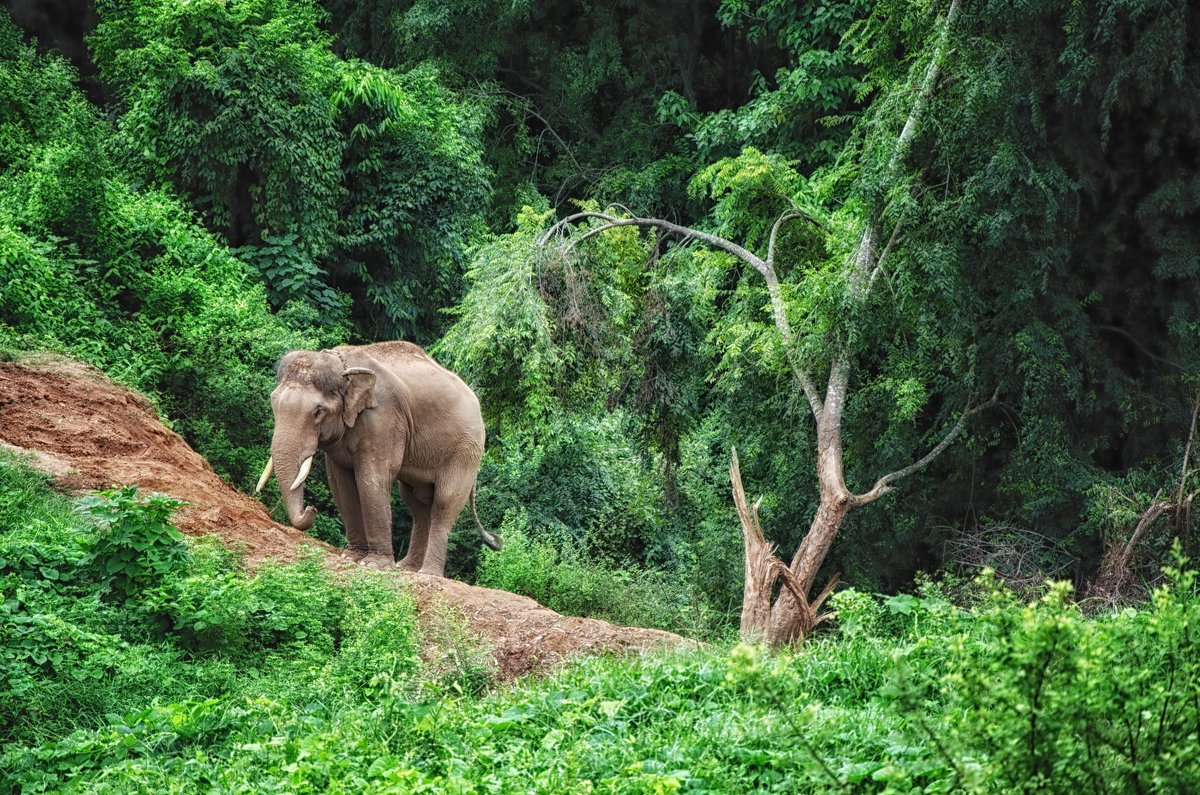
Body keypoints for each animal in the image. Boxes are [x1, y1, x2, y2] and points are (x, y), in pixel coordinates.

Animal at [258, 338, 501, 576]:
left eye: (318, 412)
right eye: (272, 402)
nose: (312, 509)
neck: (343, 365)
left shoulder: (384, 418)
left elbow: (371, 478)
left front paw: (374, 565)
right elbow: (341, 484)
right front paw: (351, 557)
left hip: (465, 450)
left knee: (444, 502)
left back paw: (428, 574)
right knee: (417, 503)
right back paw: (407, 567)